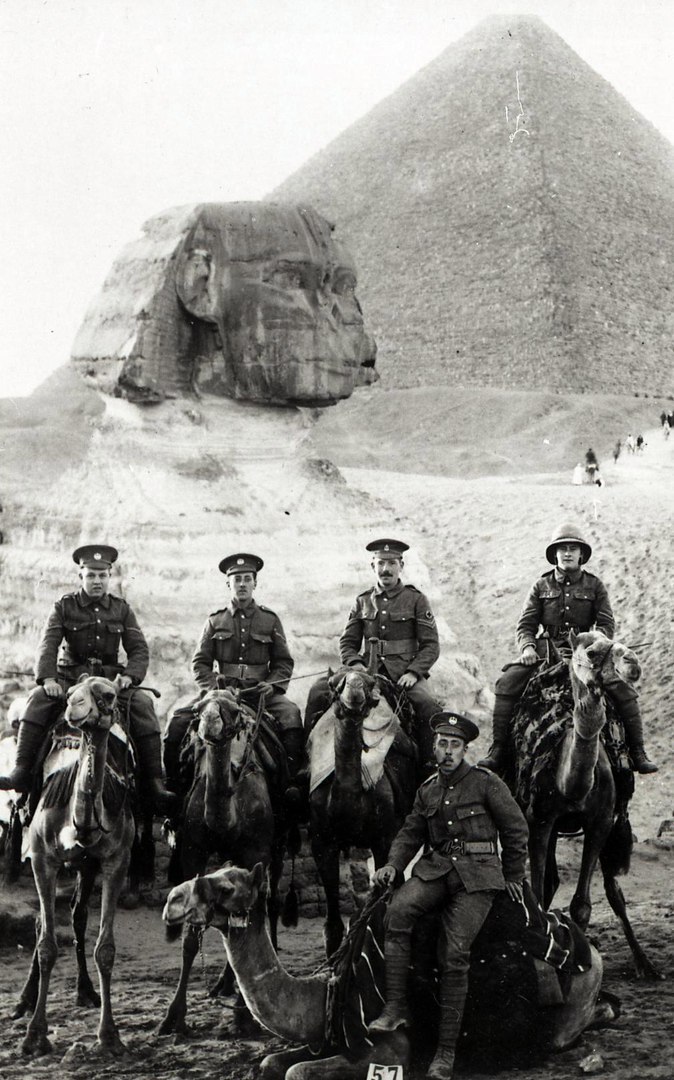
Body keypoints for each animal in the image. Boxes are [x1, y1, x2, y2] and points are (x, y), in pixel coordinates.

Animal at [12, 673, 135, 1054]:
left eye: (108, 694)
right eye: (69, 693)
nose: (74, 707)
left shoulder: (116, 861)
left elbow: (105, 949)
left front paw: (109, 1035)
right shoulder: (41, 858)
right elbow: (47, 946)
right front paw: (35, 1036)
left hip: (86, 867)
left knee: (78, 916)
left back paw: (86, 992)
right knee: (43, 923)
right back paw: (23, 1002)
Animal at [157, 686, 289, 1032]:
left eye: (232, 710)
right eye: (198, 710)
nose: (209, 725)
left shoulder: (257, 851)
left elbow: (253, 916)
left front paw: (243, 1015)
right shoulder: (192, 853)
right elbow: (190, 938)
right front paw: (173, 1016)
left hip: (278, 847)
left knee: (272, 901)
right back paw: (223, 984)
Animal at [163, 864, 609, 1080]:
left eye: (226, 888)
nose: (172, 900)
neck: (328, 992)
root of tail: (590, 951)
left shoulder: (391, 1050)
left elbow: (296, 1072)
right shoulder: (327, 1038)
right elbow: (272, 1063)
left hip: (566, 1012)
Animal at [308, 669, 419, 959]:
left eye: (369, 684)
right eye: (334, 684)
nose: (355, 688)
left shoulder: (384, 840)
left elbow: (379, 914)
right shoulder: (322, 843)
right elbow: (333, 926)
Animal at [514, 630, 661, 984]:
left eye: (614, 640)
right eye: (592, 652)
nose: (632, 662)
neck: (570, 784)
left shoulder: (601, 822)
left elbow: (582, 906)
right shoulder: (539, 821)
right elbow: (537, 896)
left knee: (613, 889)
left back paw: (644, 963)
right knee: (550, 882)